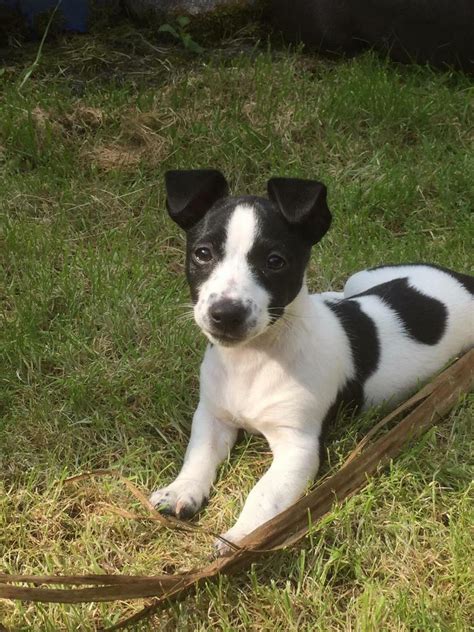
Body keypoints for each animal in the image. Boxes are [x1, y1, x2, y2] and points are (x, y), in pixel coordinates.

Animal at [151, 170, 474, 556]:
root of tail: (466, 280)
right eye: (202, 254)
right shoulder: (213, 417)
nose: (225, 314)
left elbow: (263, 495)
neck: (253, 359)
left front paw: (241, 536)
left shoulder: (299, 447)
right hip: (362, 278)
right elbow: (198, 456)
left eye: (275, 261)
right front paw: (181, 490)